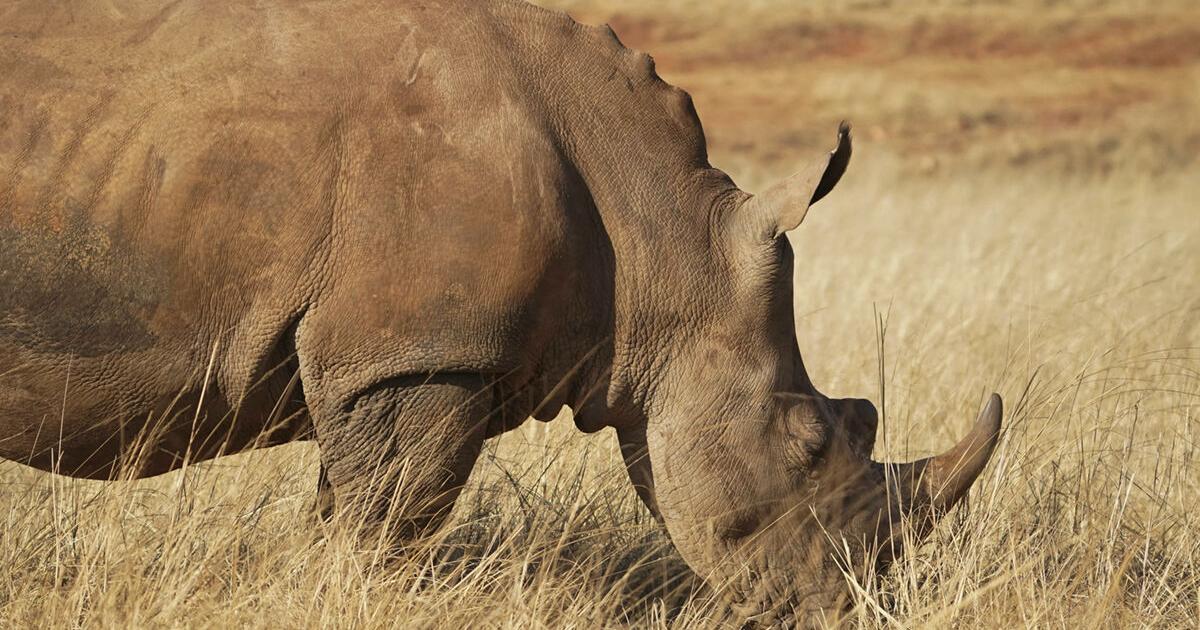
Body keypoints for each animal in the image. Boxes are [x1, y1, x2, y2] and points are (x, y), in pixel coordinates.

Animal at [0, 0, 1002, 623]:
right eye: (808, 444)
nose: (849, 608)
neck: (662, 238)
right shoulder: (423, 352)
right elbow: (390, 523)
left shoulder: (384, 359)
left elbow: (351, 511)